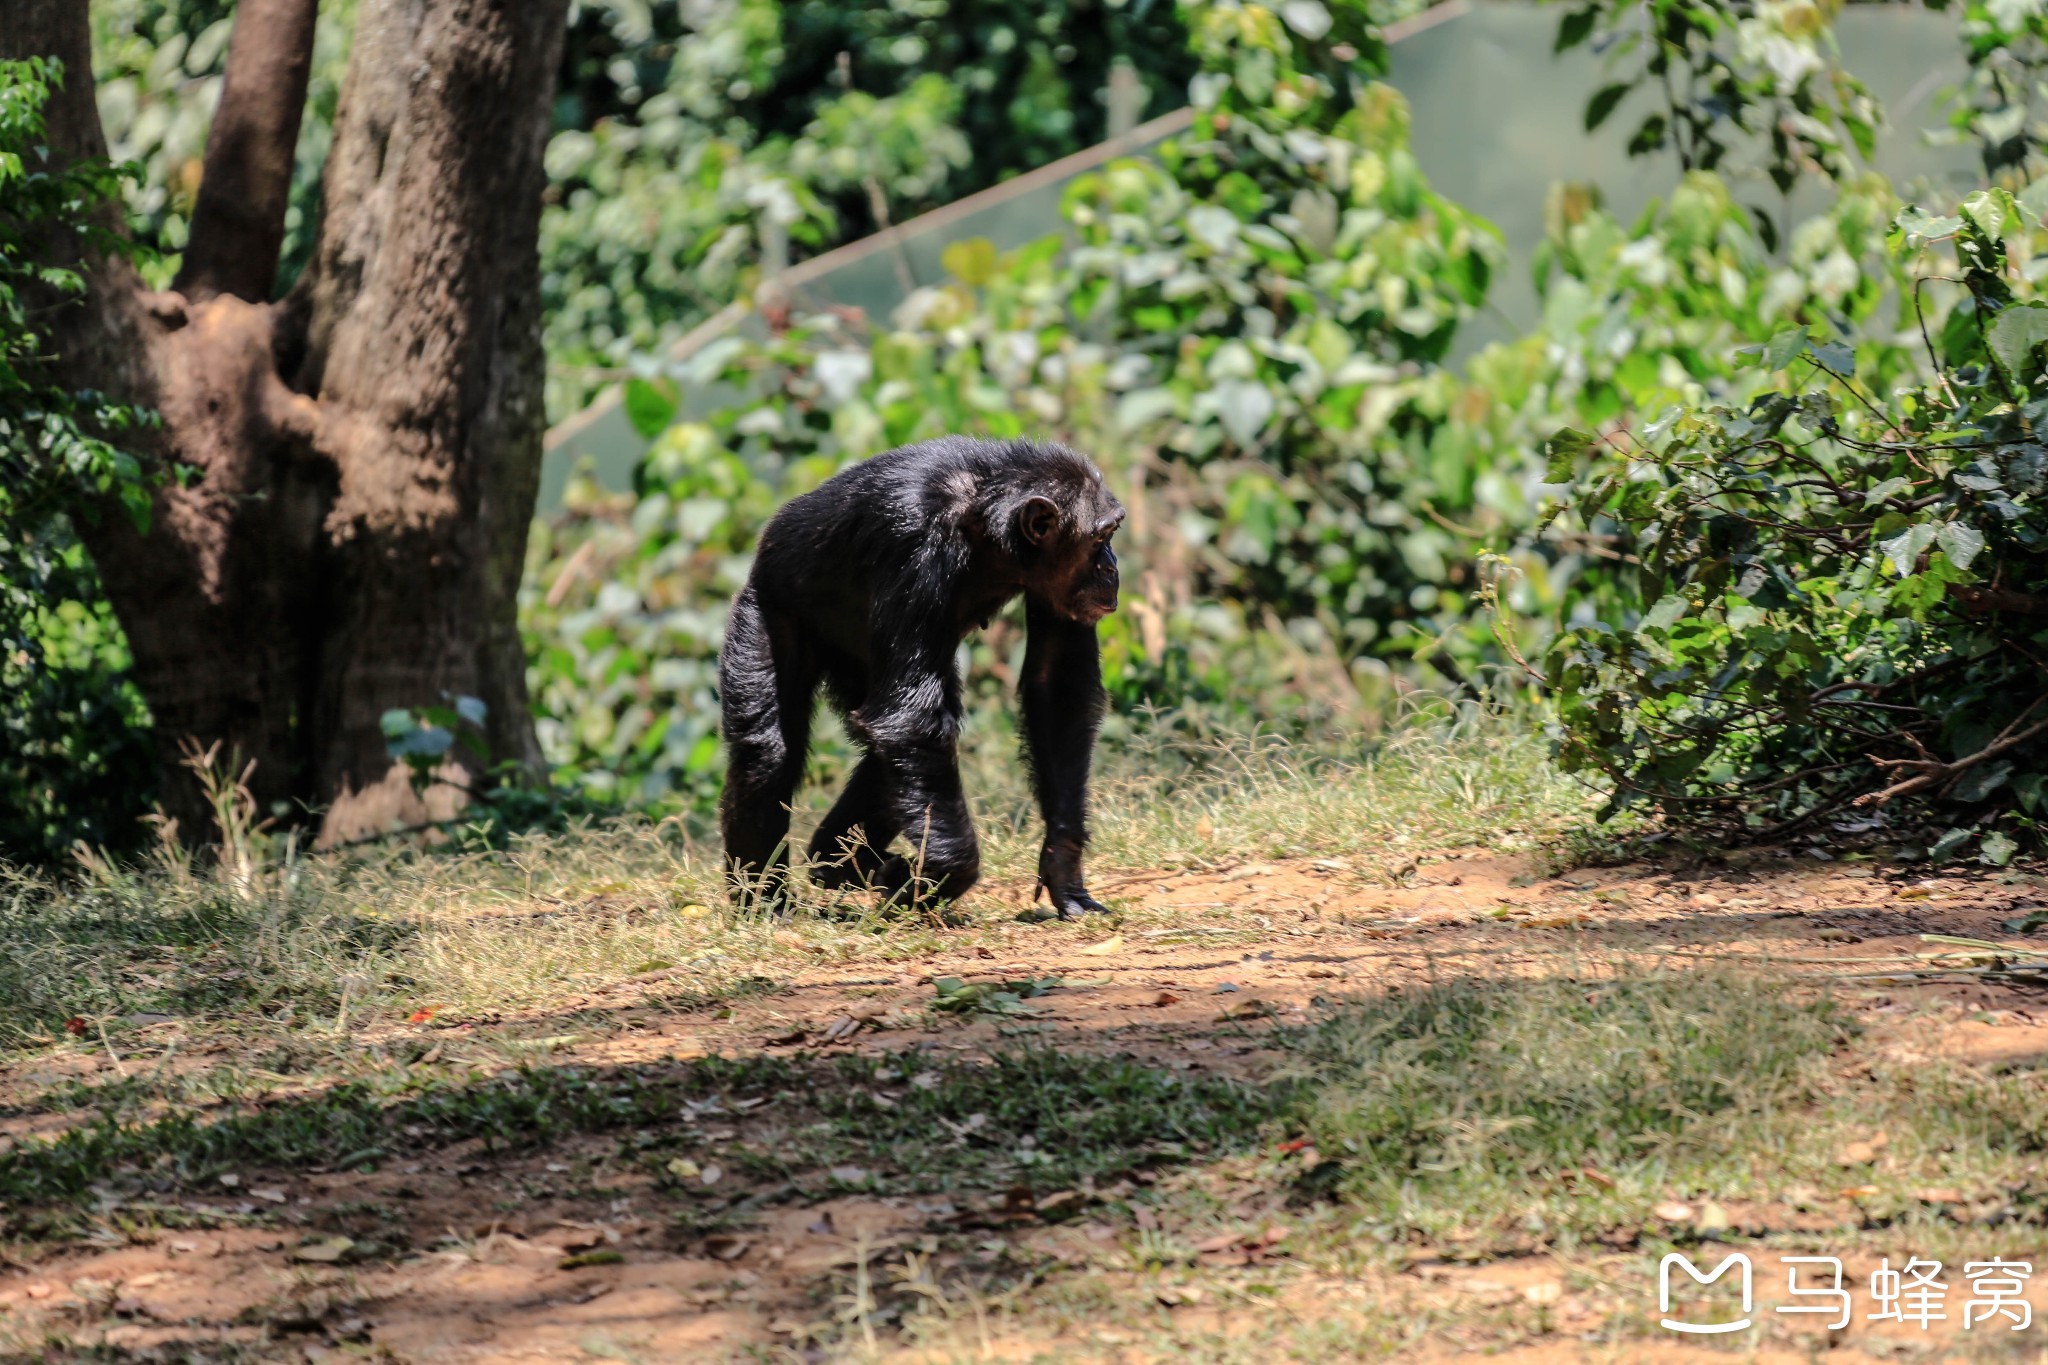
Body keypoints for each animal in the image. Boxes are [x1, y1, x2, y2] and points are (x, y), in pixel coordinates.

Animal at [720, 435, 1130, 929]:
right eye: (1101, 538)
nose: (1111, 568)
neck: (984, 519)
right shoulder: (915, 550)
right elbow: (912, 720)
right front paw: (944, 876)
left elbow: (1057, 687)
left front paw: (1063, 868)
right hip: (765, 606)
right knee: (767, 754)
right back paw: (763, 902)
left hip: (854, 662)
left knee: (890, 743)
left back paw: (837, 861)